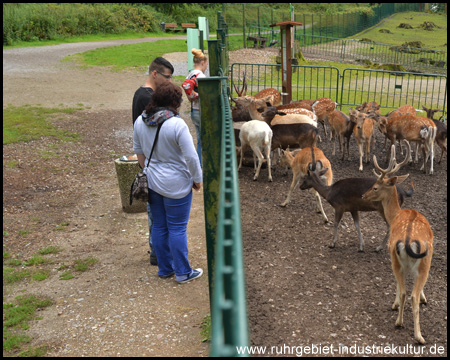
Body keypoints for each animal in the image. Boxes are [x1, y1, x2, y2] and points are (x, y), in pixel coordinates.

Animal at [362, 140, 432, 344]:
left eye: (375, 187)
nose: (363, 196)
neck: (396, 215)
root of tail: (408, 240)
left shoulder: (392, 256)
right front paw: (424, 298)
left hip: (398, 255)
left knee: (406, 293)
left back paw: (406, 326)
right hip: (423, 260)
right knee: (410, 294)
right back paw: (416, 333)